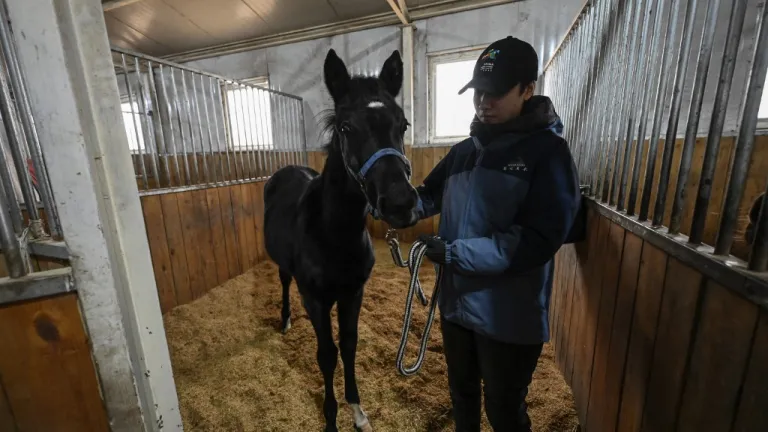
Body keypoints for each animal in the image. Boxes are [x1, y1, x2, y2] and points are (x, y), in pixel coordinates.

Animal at [263, 48, 419, 432]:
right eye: (347, 127)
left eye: (403, 125)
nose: (400, 204)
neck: (333, 233)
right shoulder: (317, 299)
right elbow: (326, 354)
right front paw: (331, 417)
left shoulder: (353, 293)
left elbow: (348, 345)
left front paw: (358, 411)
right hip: (286, 270)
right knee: (284, 283)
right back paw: (285, 320)